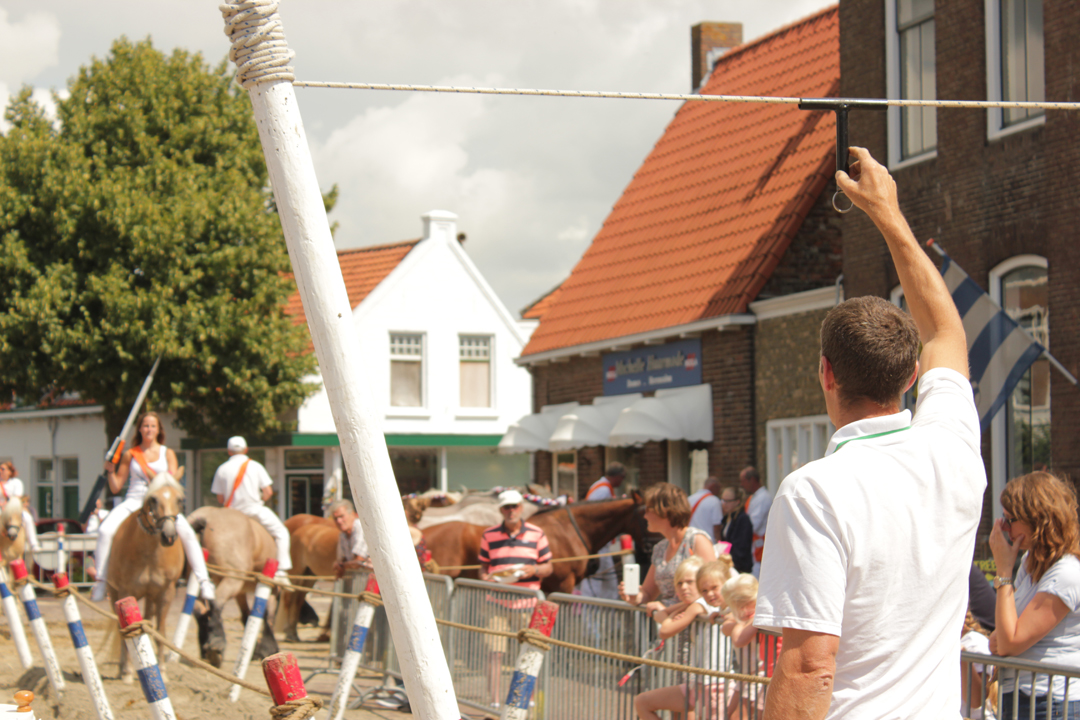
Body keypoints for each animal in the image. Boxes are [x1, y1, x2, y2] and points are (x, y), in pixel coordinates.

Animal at [106, 470, 186, 686]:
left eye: (180, 499)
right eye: (153, 499)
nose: (169, 536)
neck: (150, 552)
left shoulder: (166, 593)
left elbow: (161, 632)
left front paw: (163, 672)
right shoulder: (125, 593)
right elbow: (127, 632)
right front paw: (127, 672)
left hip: (151, 597)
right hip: (113, 592)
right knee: (120, 629)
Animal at [190, 505, 282, 669]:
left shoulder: (241, 591)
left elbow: (247, 615)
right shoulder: (270, 586)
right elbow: (267, 616)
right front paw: (267, 648)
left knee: (199, 610)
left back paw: (207, 648)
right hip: (232, 579)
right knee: (216, 603)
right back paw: (217, 643)